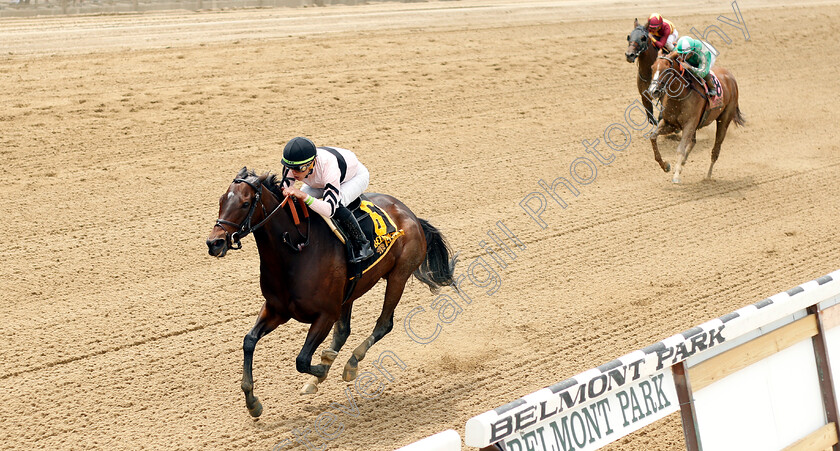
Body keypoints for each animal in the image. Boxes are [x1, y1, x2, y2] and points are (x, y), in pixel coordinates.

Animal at [207, 168, 456, 418]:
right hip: (350, 293)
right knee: (344, 331)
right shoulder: (276, 309)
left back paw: (351, 363)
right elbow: (249, 341)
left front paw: (323, 367)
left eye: (245, 203)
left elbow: (302, 360)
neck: (295, 252)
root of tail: (411, 214)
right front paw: (252, 402)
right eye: (221, 200)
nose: (214, 243)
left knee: (384, 324)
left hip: (398, 277)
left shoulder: (325, 314)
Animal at [648, 51, 744, 182]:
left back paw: (708, 175)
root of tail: (731, 77)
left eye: (667, 70)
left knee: (716, 149)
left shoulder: (689, 124)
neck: (680, 96)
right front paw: (666, 166)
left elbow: (680, 149)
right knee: (693, 141)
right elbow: (652, 137)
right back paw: (682, 164)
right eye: (652, 67)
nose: (653, 91)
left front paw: (676, 176)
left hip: (724, 119)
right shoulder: (670, 124)